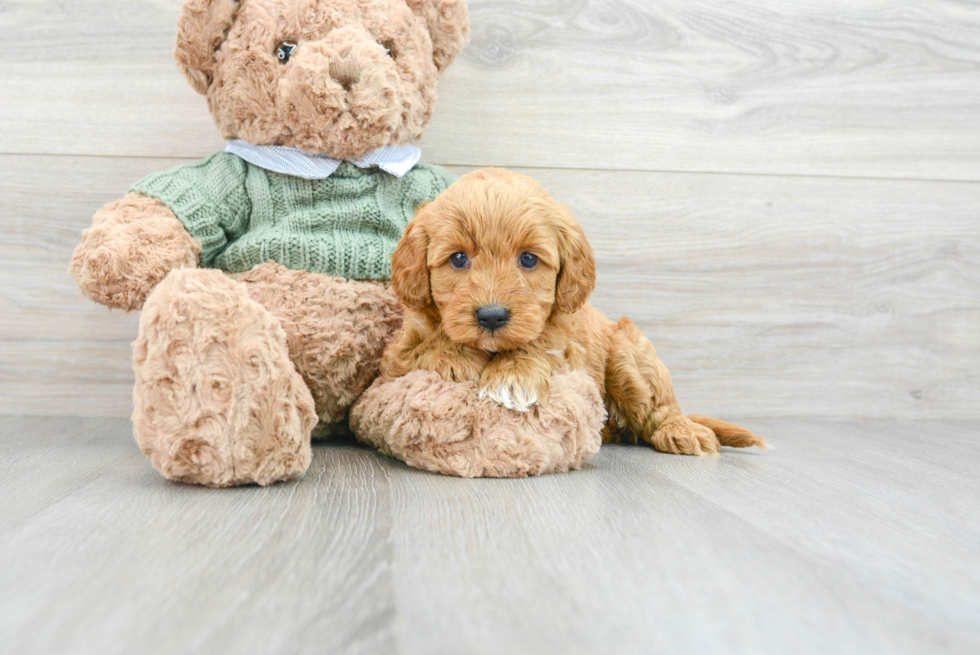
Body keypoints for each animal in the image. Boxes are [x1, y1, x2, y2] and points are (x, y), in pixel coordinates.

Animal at [378, 168, 768, 456]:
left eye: (528, 259)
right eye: (458, 258)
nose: (491, 316)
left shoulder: (566, 342)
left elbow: (538, 345)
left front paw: (512, 376)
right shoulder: (397, 356)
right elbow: (425, 348)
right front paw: (458, 357)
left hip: (629, 352)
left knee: (660, 409)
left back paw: (682, 431)